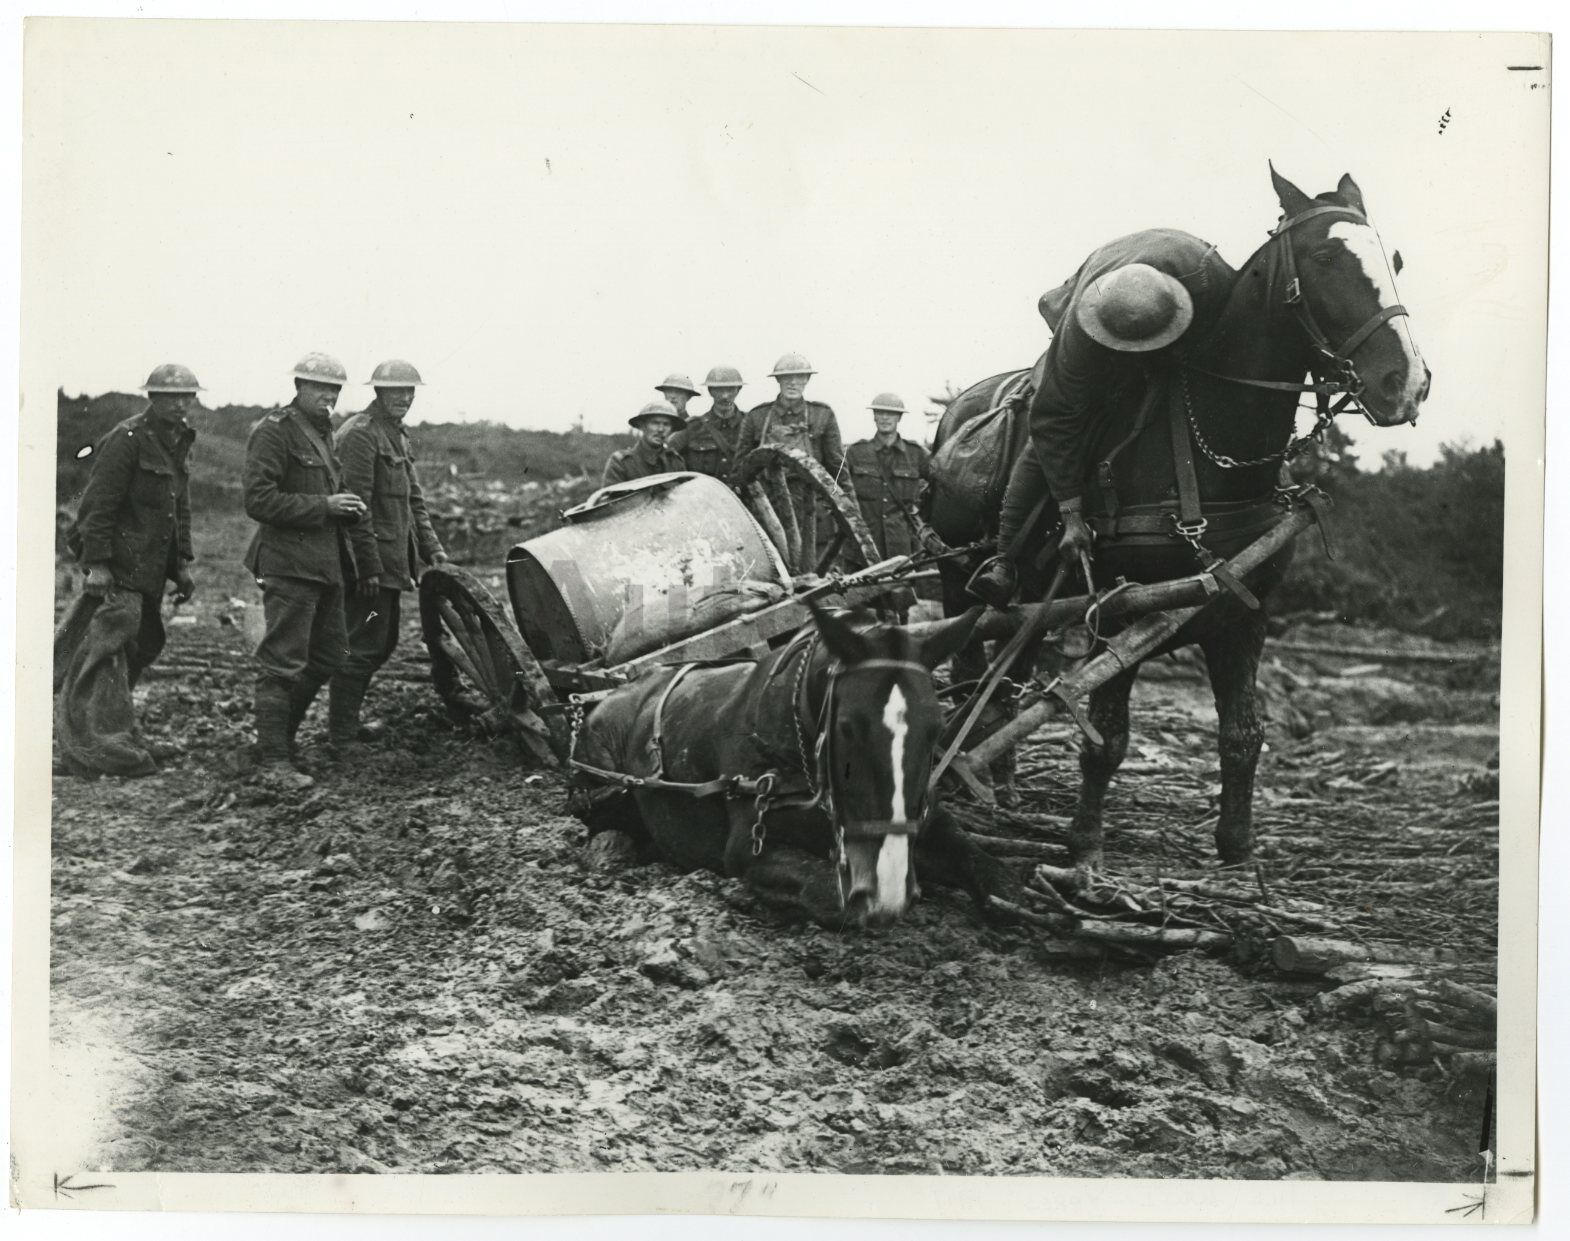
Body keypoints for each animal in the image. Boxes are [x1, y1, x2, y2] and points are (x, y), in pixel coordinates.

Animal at [571, 603, 1023, 929]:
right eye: (847, 727)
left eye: (938, 727)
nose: (891, 886)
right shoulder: (747, 851)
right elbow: (832, 894)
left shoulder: (925, 819)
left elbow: (988, 868)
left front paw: (1026, 908)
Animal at [923, 164, 1431, 867]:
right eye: (1326, 258)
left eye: (1396, 260)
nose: (1405, 384)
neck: (1201, 451)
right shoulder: (1116, 612)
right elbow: (1106, 736)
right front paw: (1084, 845)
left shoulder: (1245, 616)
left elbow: (1243, 733)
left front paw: (1236, 849)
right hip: (958, 583)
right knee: (971, 671)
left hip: (1031, 606)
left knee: (1008, 681)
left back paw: (999, 786)